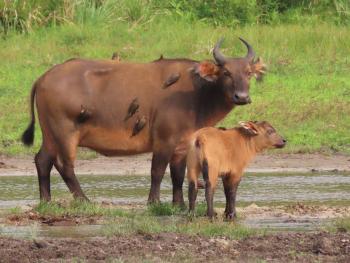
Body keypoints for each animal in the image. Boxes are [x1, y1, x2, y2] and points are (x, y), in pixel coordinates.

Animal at [21, 38, 266, 205]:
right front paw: (153, 201)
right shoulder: (164, 140)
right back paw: (83, 200)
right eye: (226, 73)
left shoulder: (182, 144)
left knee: (42, 160)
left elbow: (178, 174)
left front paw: (178, 204)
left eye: (248, 73)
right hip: (65, 132)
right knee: (64, 165)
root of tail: (44, 77)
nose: (242, 97)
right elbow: (157, 171)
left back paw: (46, 200)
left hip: (50, 133)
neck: (196, 92)